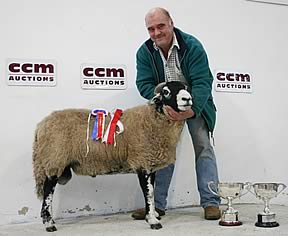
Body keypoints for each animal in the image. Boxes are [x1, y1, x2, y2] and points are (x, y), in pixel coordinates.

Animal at [32, 80, 192, 231]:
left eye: (186, 88)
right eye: (166, 92)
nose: (188, 99)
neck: (152, 119)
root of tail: (40, 125)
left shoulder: (150, 165)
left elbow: (151, 191)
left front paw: (153, 214)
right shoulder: (142, 163)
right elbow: (149, 193)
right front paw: (153, 220)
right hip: (54, 160)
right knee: (47, 193)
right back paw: (49, 224)